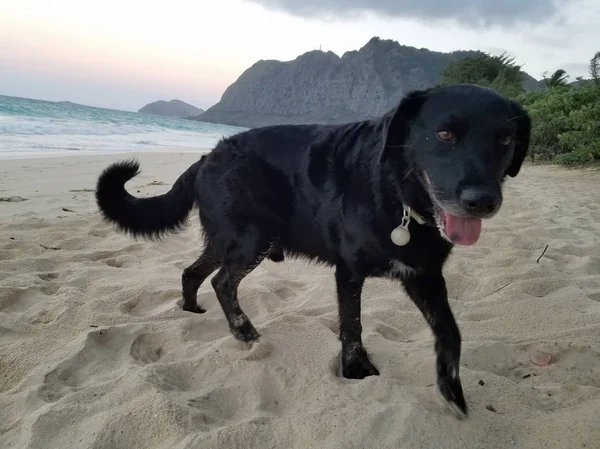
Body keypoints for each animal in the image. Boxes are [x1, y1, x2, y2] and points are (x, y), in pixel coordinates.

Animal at [96, 85, 532, 420]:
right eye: (444, 135)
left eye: (504, 139)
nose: (482, 201)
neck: (398, 194)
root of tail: (207, 156)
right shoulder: (350, 271)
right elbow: (352, 326)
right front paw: (356, 369)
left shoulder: (425, 276)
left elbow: (451, 334)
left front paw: (452, 391)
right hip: (251, 240)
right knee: (222, 282)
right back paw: (243, 331)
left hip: (232, 240)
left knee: (193, 272)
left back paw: (191, 310)